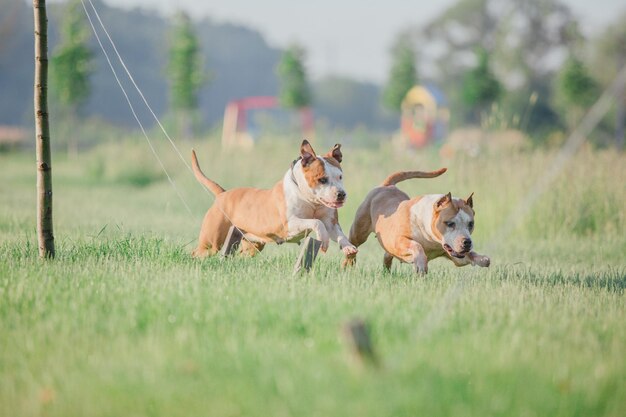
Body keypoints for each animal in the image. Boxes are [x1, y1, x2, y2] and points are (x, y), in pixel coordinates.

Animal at [189, 140, 356, 256]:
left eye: (340, 177)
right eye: (322, 179)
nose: (341, 194)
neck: (310, 201)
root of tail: (223, 194)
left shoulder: (331, 223)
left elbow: (338, 233)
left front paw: (348, 247)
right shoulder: (290, 224)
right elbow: (316, 222)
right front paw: (324, 239)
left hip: (252, 244)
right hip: (211, 243)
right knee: (198, 253)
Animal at [342, 169, 488, 272]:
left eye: (471, 224)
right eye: (450, 223)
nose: (467, 242)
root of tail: (387, 185)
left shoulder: (456, 257)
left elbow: (469, 257)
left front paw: (482, 258)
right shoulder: (400, 240)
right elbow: (416, 246)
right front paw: (421, 264)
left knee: (387, 255)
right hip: (358, 233)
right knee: (353, 246)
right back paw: (347, 263)